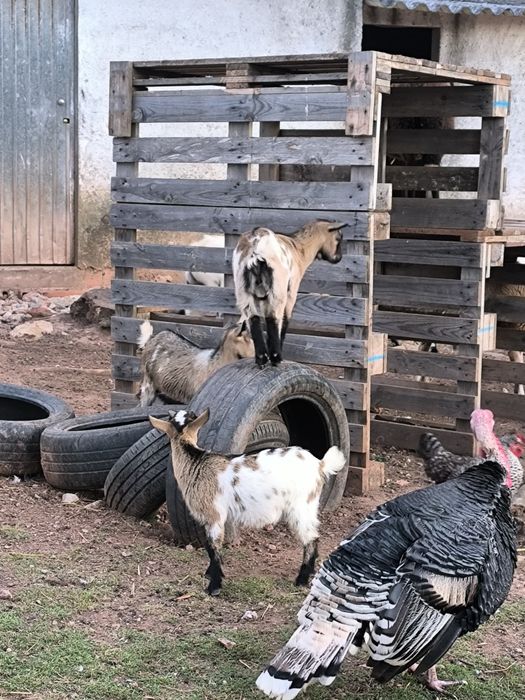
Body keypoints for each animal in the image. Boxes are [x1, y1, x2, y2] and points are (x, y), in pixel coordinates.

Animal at [150, 409, 346, 596]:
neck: (196, 462)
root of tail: (320, 464)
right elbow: (210, 548)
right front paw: (210, 574)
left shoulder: (214, 515)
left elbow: (213, 547)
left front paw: (214, 587)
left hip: (301, 506)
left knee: (311, 539)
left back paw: (301, 580)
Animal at [232, 220, 345, 367]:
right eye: (338, 238)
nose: (339, 258)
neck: (299, 249)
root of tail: (255, 245)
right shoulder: (292, 291)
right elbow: (286, 319)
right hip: (278, 289)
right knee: (273, 318)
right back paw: (276, 357)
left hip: (242, 290)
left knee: (253, 318)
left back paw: (261, 358)